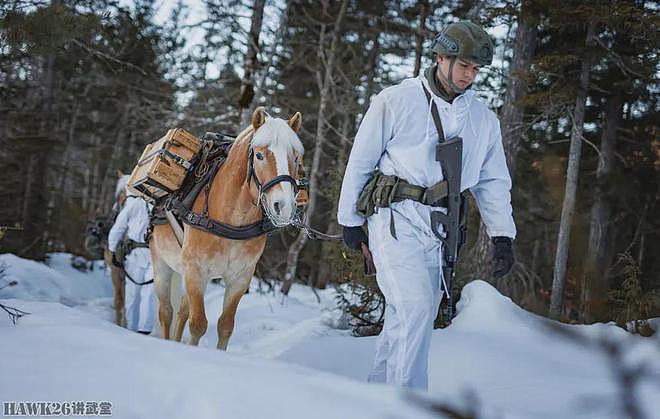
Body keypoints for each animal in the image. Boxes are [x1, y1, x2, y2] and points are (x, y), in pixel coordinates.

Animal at [150, 107, 304, 348]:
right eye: (259, 155)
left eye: (296, 158)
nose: (284, 207)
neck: (232, 220)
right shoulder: (195, 270)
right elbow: (198, 324)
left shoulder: (240, 278)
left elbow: (225, 326)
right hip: (161, 264)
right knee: (166, 312)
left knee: (182, 311)